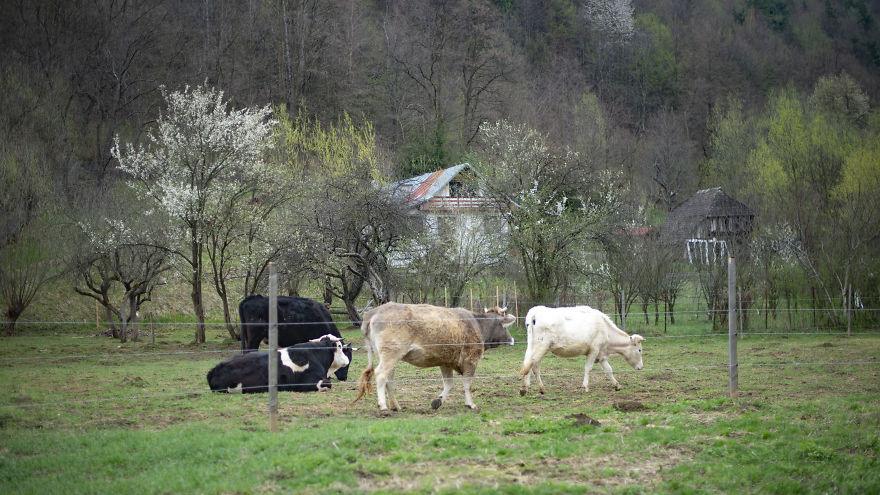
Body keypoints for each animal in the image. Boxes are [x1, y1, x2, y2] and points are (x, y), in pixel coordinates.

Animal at [353, 303, 516, 412]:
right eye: (505, 326)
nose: (512, 339)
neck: (477, 323)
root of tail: (373, 312)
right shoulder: (471, 360)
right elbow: (467, 383)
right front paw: (470, 403)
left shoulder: (445, 362)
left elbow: (448, 384)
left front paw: (438, 401)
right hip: (390, 354)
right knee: (381, 375)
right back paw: (383, 405)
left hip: (388, 357)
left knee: (388, 380)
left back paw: (396, 406)